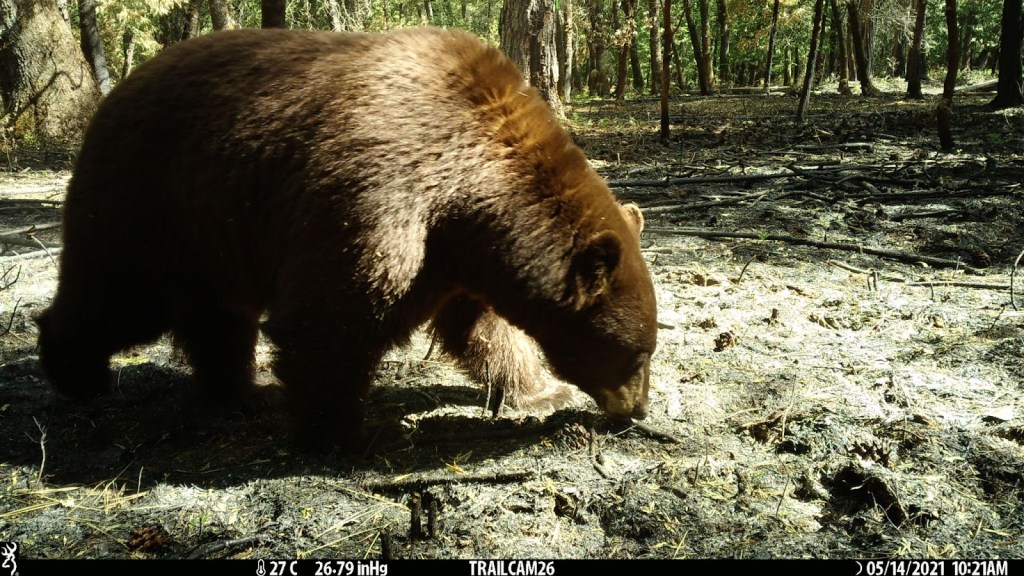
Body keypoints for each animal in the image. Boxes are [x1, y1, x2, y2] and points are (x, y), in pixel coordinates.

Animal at [35, 27, 658, 448]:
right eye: (637, 354)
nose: (637, 410)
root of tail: (114, 95)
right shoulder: (384, 191)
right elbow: (335, 313)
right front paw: (345, 436)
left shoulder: (457, 252)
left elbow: (481, 326)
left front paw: (538, 390)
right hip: (152, 205)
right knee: (114, 296)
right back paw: (78, 374)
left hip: (211, 227)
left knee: (216, 318)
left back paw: (241, 392)